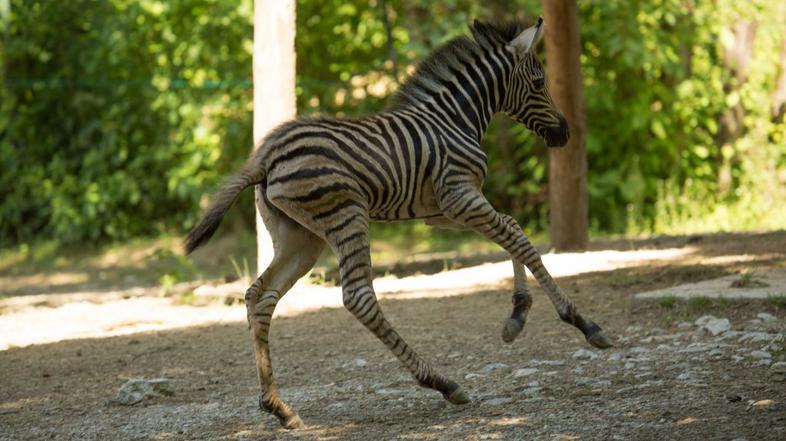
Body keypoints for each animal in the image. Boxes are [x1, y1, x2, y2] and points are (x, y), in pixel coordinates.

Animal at [185, 17, 612, 429]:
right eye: (539, 82)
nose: (564, 133)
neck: (454, 119)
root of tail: (265, 158)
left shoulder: (442, 212)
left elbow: (510, 230)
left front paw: (517, 316)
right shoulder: (459, 195)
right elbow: (518, 237)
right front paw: (581, 322)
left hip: (300, 237)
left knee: (260, 297)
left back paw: (279, 408)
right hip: (346, 215)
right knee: (358, 296)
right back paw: (443, 383)